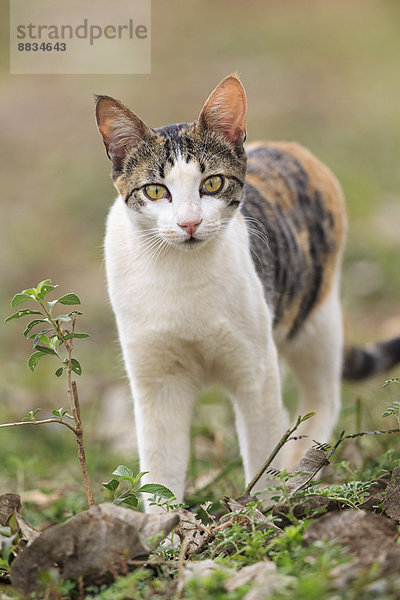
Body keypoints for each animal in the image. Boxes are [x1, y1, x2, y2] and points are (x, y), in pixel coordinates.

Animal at [95, 72, 400, 508]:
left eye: (212, 183)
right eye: (155, 191)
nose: (189, 223)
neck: (183, 279)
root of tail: (289, 146)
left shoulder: (255, 368)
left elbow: (262, 451)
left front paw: (260, 511)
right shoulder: (157, 382)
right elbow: (161, 467)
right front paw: (163, 525)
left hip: (315, 317)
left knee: (322, 399)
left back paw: (299, 469)